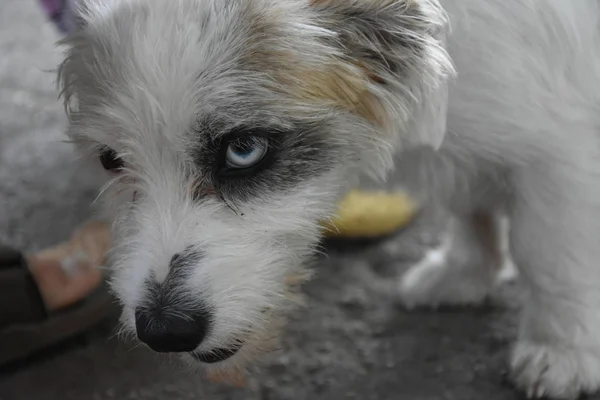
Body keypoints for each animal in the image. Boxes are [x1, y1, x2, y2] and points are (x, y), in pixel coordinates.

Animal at [56, 1, 600, 398]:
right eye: (111, 159)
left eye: (244, 149)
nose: (164, 330)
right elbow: (470, 205)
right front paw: (468, 272)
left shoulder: (561, 156)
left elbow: (550, 256)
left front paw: (561, 350)